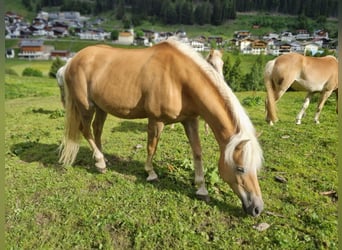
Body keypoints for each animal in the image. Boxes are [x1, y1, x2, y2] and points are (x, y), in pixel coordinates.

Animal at [57, 39, 264, 217]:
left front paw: (201, 188)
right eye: (240, 169)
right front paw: (151, 173)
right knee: (86, 131)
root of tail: (73, 60)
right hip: (86, 106)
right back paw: (100, 163)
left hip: (101, 107)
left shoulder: (190, 121)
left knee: (97, 130)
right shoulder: (156, 120)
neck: (180, 79)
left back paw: (103, 158)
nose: (257, 208)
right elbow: (152, 147)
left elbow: (197, 152)